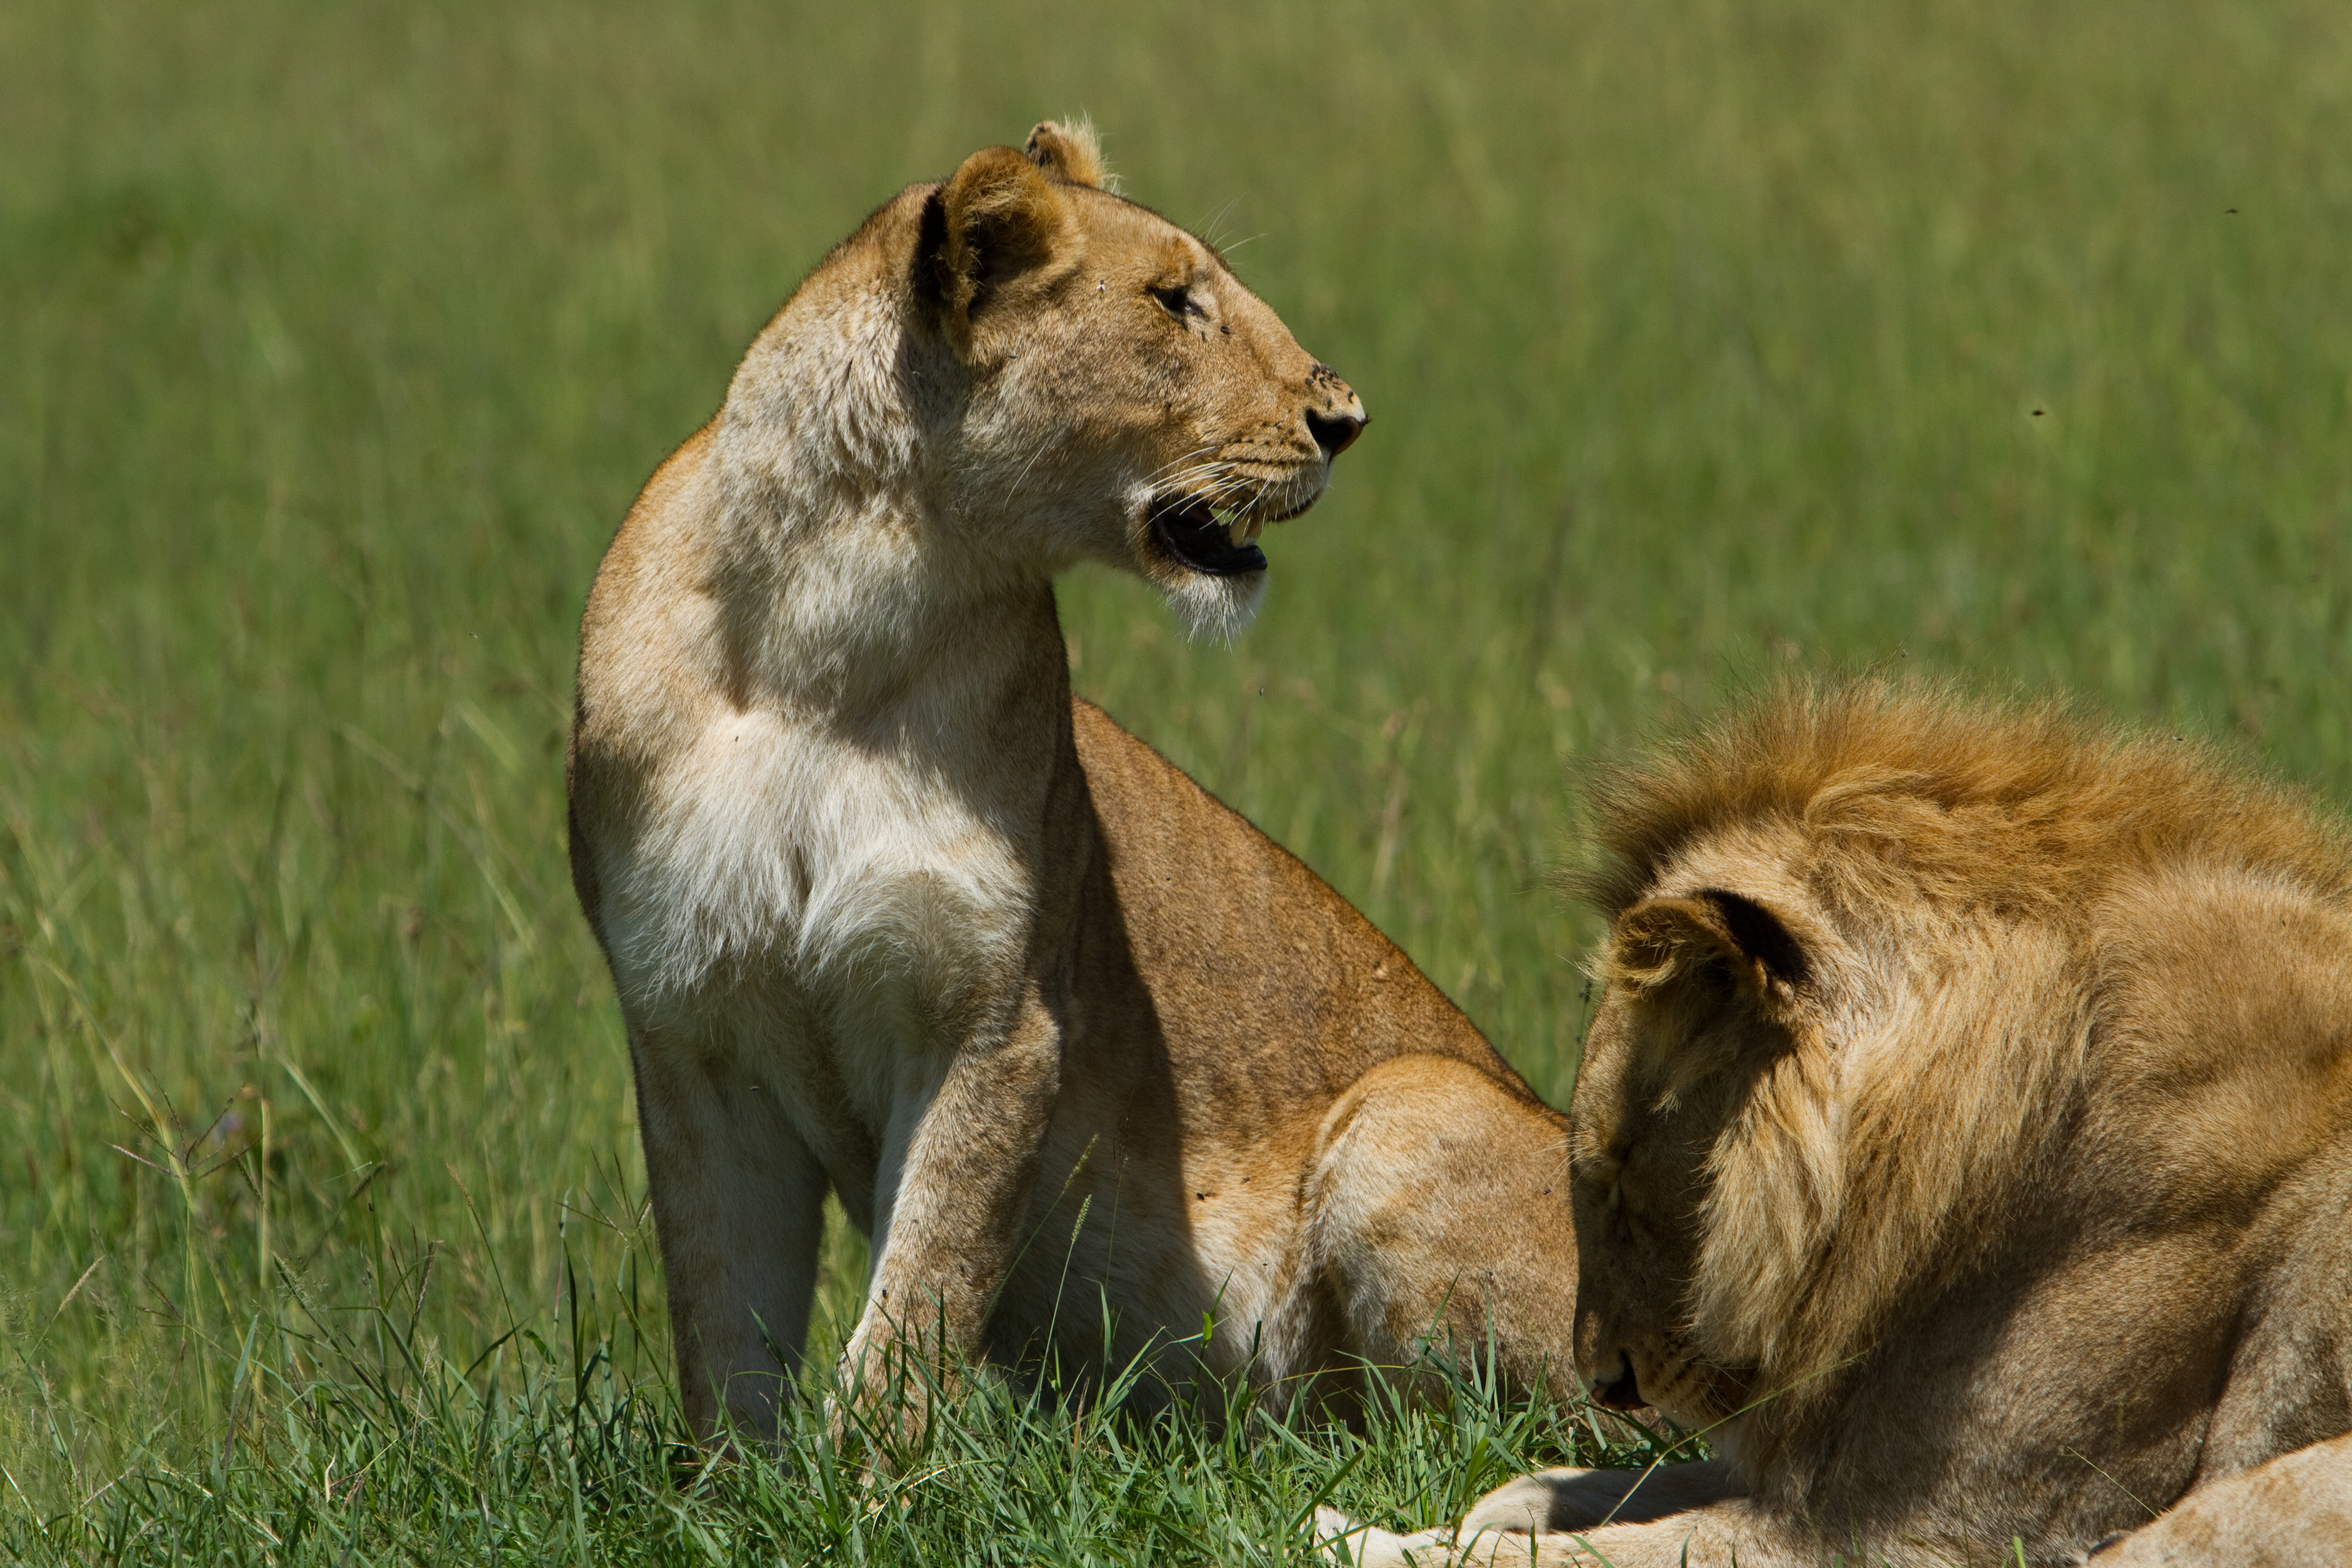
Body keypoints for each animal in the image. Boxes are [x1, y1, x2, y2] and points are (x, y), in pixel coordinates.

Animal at [566, 122, 1580, 1441]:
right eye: (1173, 302)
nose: (1347, 418)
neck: (831, 623)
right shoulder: (692, 1020)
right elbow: (724, 1327)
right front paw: (742, 1485)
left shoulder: (997, 1014)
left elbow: (917, 1300)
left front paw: (864, 1479)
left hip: (1412, 1101)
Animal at [1318, 679, 2352, 1565]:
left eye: (1613, 1171)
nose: (1606, 1382)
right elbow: (1654, 1485)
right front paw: (1519, 1496)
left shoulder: (1932, 1532)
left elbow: (1595, 1554)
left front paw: (1360, 1537)